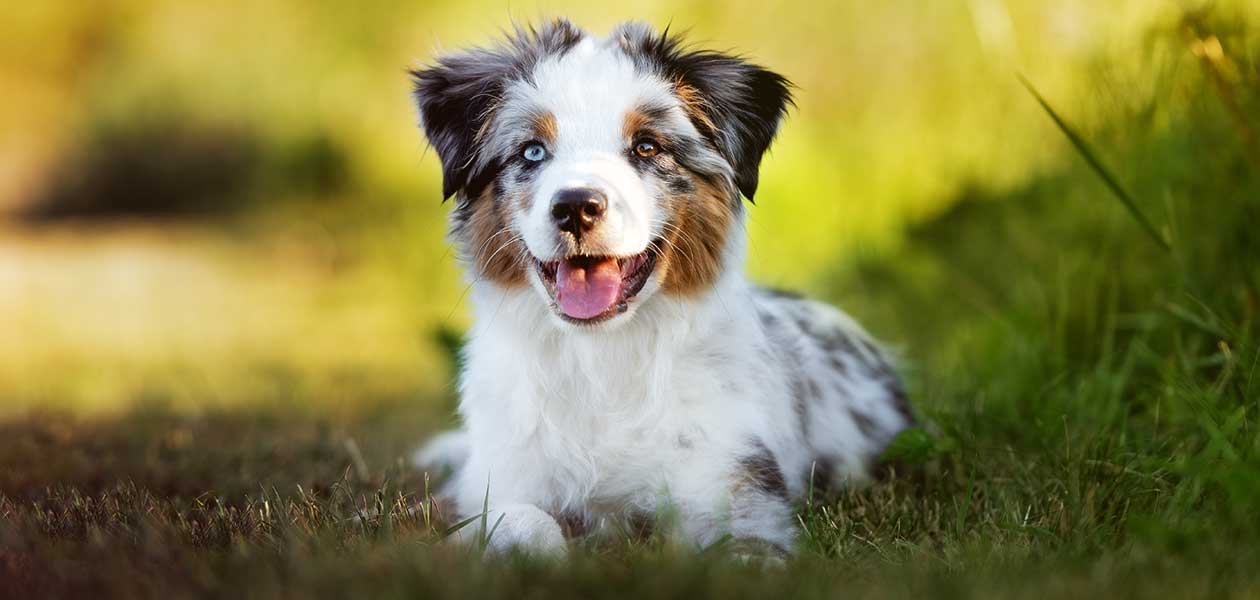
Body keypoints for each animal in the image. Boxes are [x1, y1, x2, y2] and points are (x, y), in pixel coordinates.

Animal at [413, 19, 917, 557]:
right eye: (532, 151)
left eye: (647, 147)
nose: (575, 207)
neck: (601, 360)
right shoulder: (499, 481)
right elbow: (523, 523)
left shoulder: (739, 488)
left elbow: (738, 549)